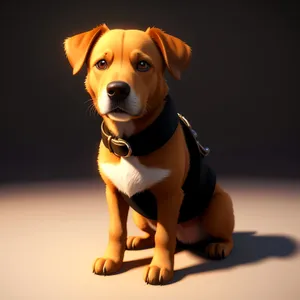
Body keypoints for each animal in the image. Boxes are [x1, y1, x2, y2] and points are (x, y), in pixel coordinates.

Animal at [64, 24, 236, 284]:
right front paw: (112, 259)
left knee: (222, 235)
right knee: (151, 233)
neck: (130, 142)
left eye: (143, 65)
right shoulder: (113, 193)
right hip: (139, 216)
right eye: (101, 63)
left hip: (219, 207)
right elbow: (116, 230)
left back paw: (219, 246)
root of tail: (188, 238)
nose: (117, 90)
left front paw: (161, 266)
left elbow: (164, 236)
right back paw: (138, 240)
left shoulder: (169, 196)